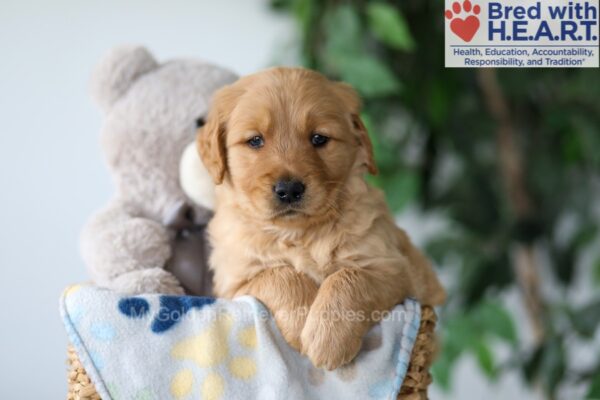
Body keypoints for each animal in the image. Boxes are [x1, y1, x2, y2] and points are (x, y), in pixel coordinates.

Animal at [198, 67, 446, 370]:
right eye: (255, 140)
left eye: (319, 139)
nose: (289, 189)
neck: (299, 233)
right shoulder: (234, 282)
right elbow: (281, 275)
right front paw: (301, 323)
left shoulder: (395, 269)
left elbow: (348, 278)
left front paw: (327, 340)